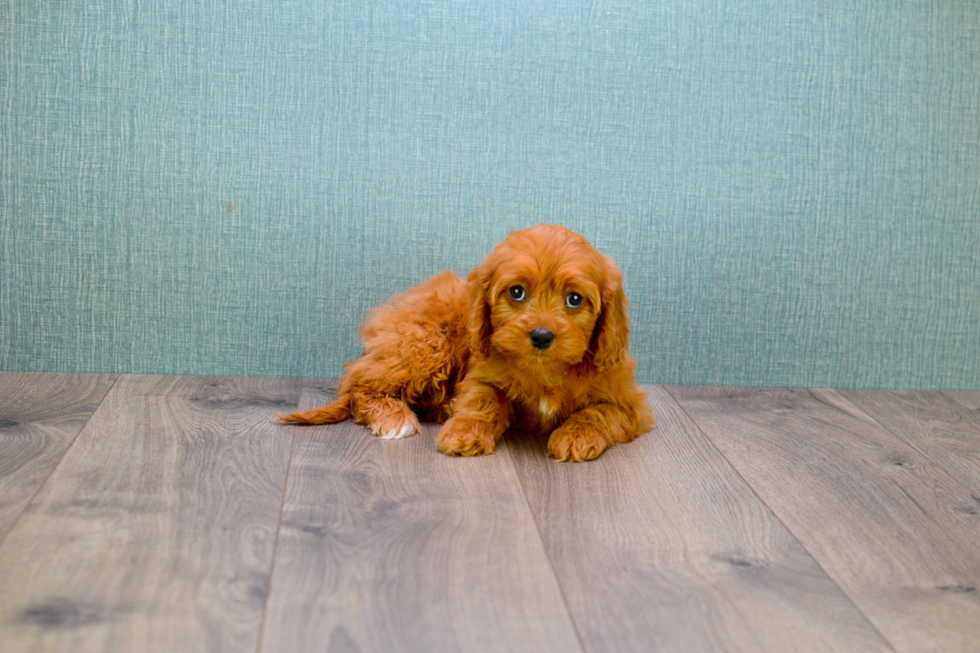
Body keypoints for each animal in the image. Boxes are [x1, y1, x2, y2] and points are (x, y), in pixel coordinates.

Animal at [280, 224, 656, 458]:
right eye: (516, 292)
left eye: (575, 299)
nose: (541, 335)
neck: (546, 371)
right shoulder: (481, 376)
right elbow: (481, 401)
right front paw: (464, 432)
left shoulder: (627, 402)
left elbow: (599, 412)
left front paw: (575, 435)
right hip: (424, 346)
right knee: (362, 387)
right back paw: (395, 418)